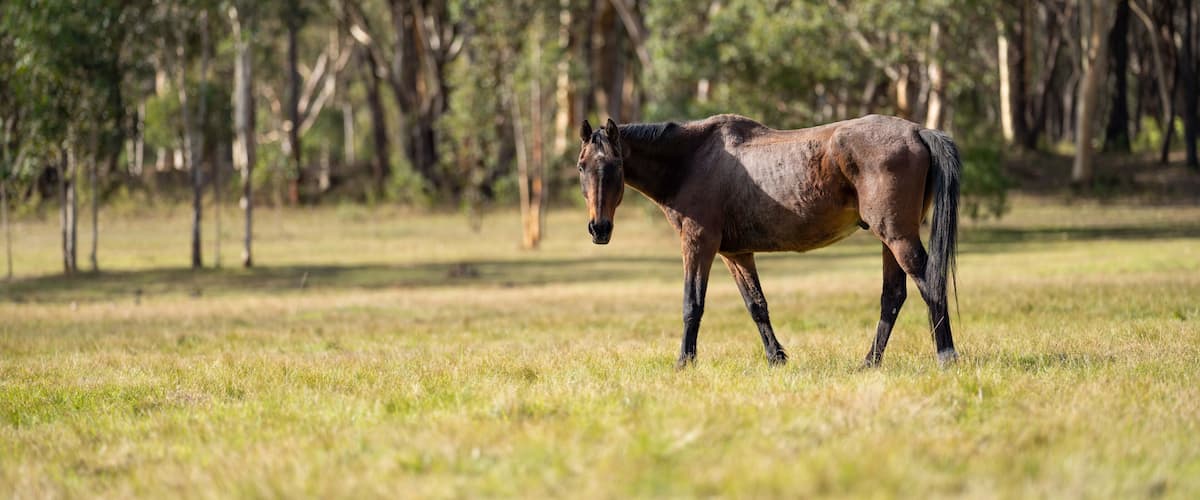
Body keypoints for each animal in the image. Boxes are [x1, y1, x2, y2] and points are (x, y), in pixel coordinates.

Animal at [574, 114, 960, 369]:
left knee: (930, 285)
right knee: (892, 297)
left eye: (614, 165)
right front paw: (776, 358)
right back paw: (870, 362)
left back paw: (946, 356)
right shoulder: (736, 254)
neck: (692, 160)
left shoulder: (698, 244)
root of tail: (918, 130)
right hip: (890, 239)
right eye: (581, 166)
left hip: (897, 236)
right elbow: (756, 305)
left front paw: (684, 362)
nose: (598, 228)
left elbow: (692, 305)